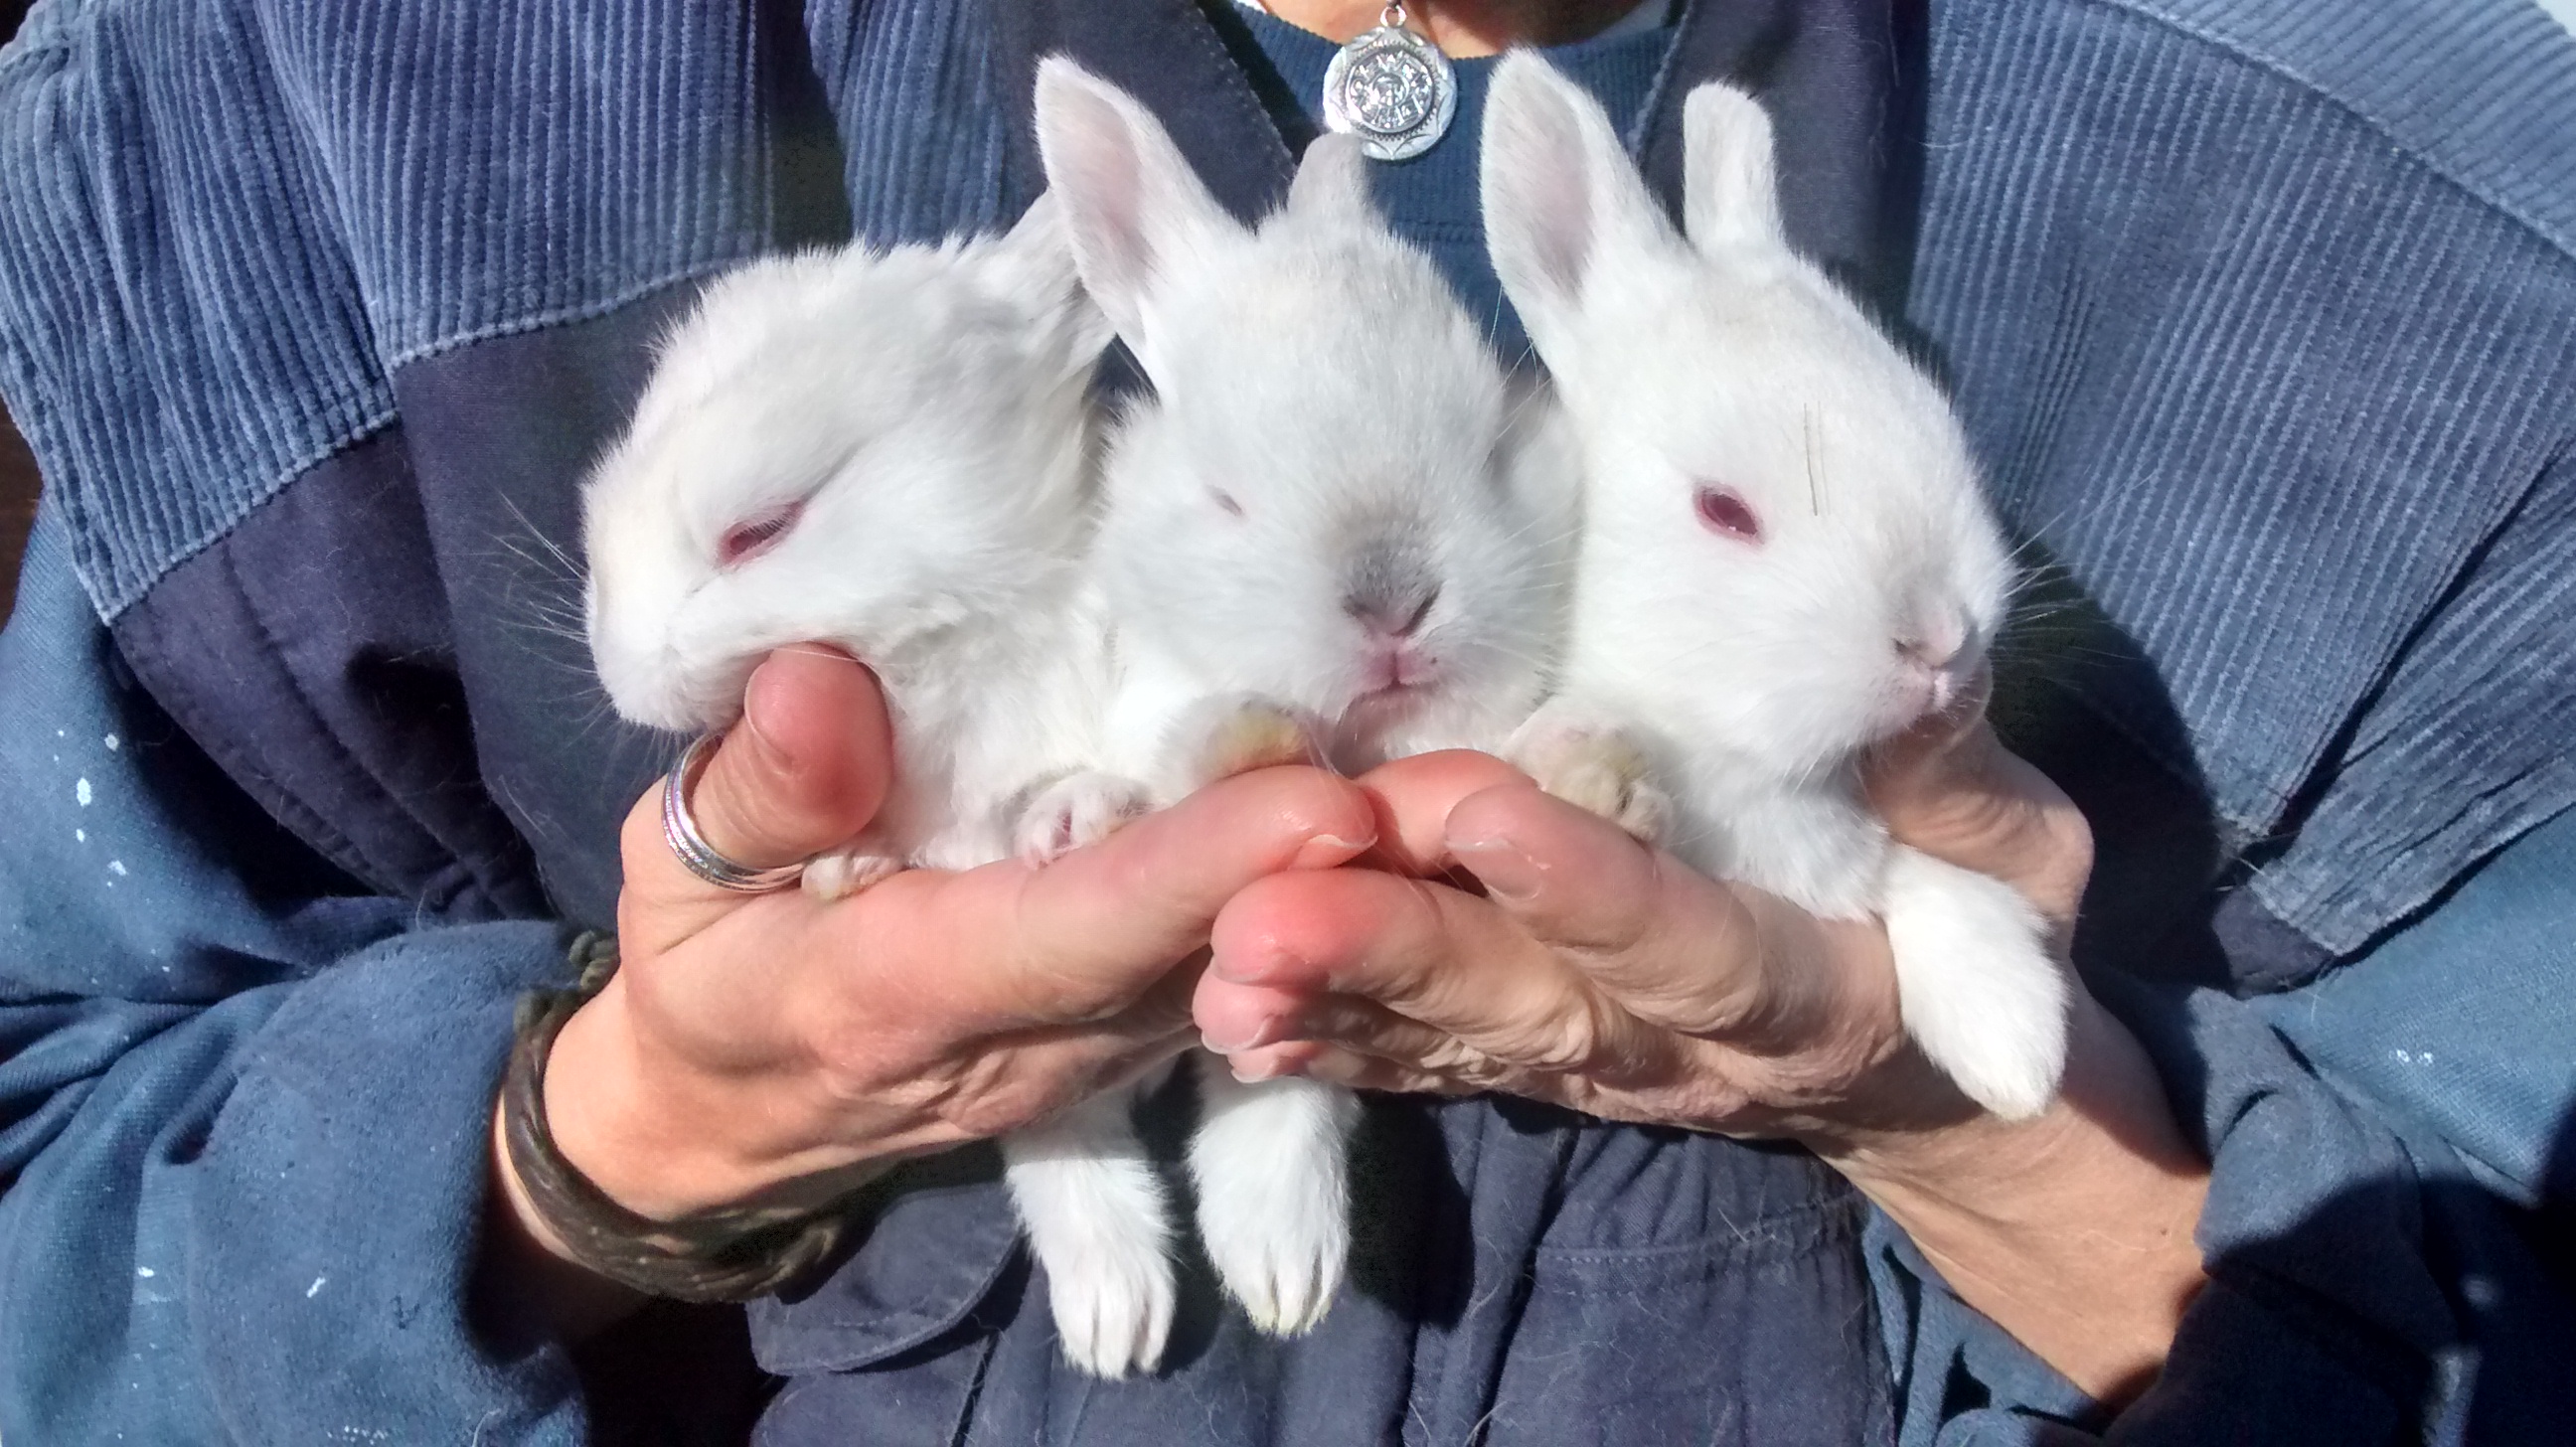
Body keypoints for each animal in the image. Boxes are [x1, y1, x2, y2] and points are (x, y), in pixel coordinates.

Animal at [1035, 59, 1576, 1349]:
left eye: (1490, 448)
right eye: (1225, 498)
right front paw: (1236, 740)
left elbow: (1277, 1073)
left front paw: (1284, 1271)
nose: (1393, 600)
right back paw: (1116, 1308)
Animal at [1483, 56, 2060, 1117]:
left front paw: (2017, 1057)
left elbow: (1938, 896)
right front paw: (1587, 769)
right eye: (1723, 511)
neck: (1745, 771)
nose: (1936, 640)